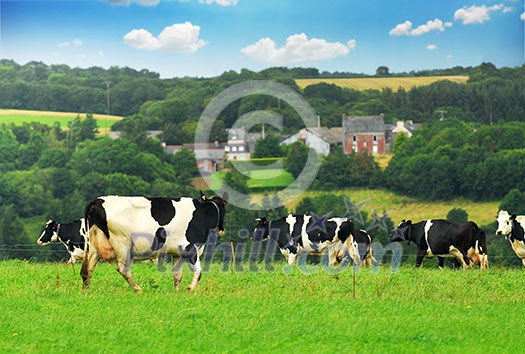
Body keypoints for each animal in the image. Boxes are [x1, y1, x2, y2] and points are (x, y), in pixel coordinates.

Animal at [81, 192, 227, 292]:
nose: (222, 230)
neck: (201, 214)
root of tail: (97, 201)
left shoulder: (178, 253)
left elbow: (177, 275)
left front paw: (177, 292)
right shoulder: (190, 247)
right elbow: (198, 272)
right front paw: (189, 289)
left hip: (93, 244)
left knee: (88, 269)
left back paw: (87, 290)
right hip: (122, 242)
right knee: (122, 269)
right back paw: (138, 289)